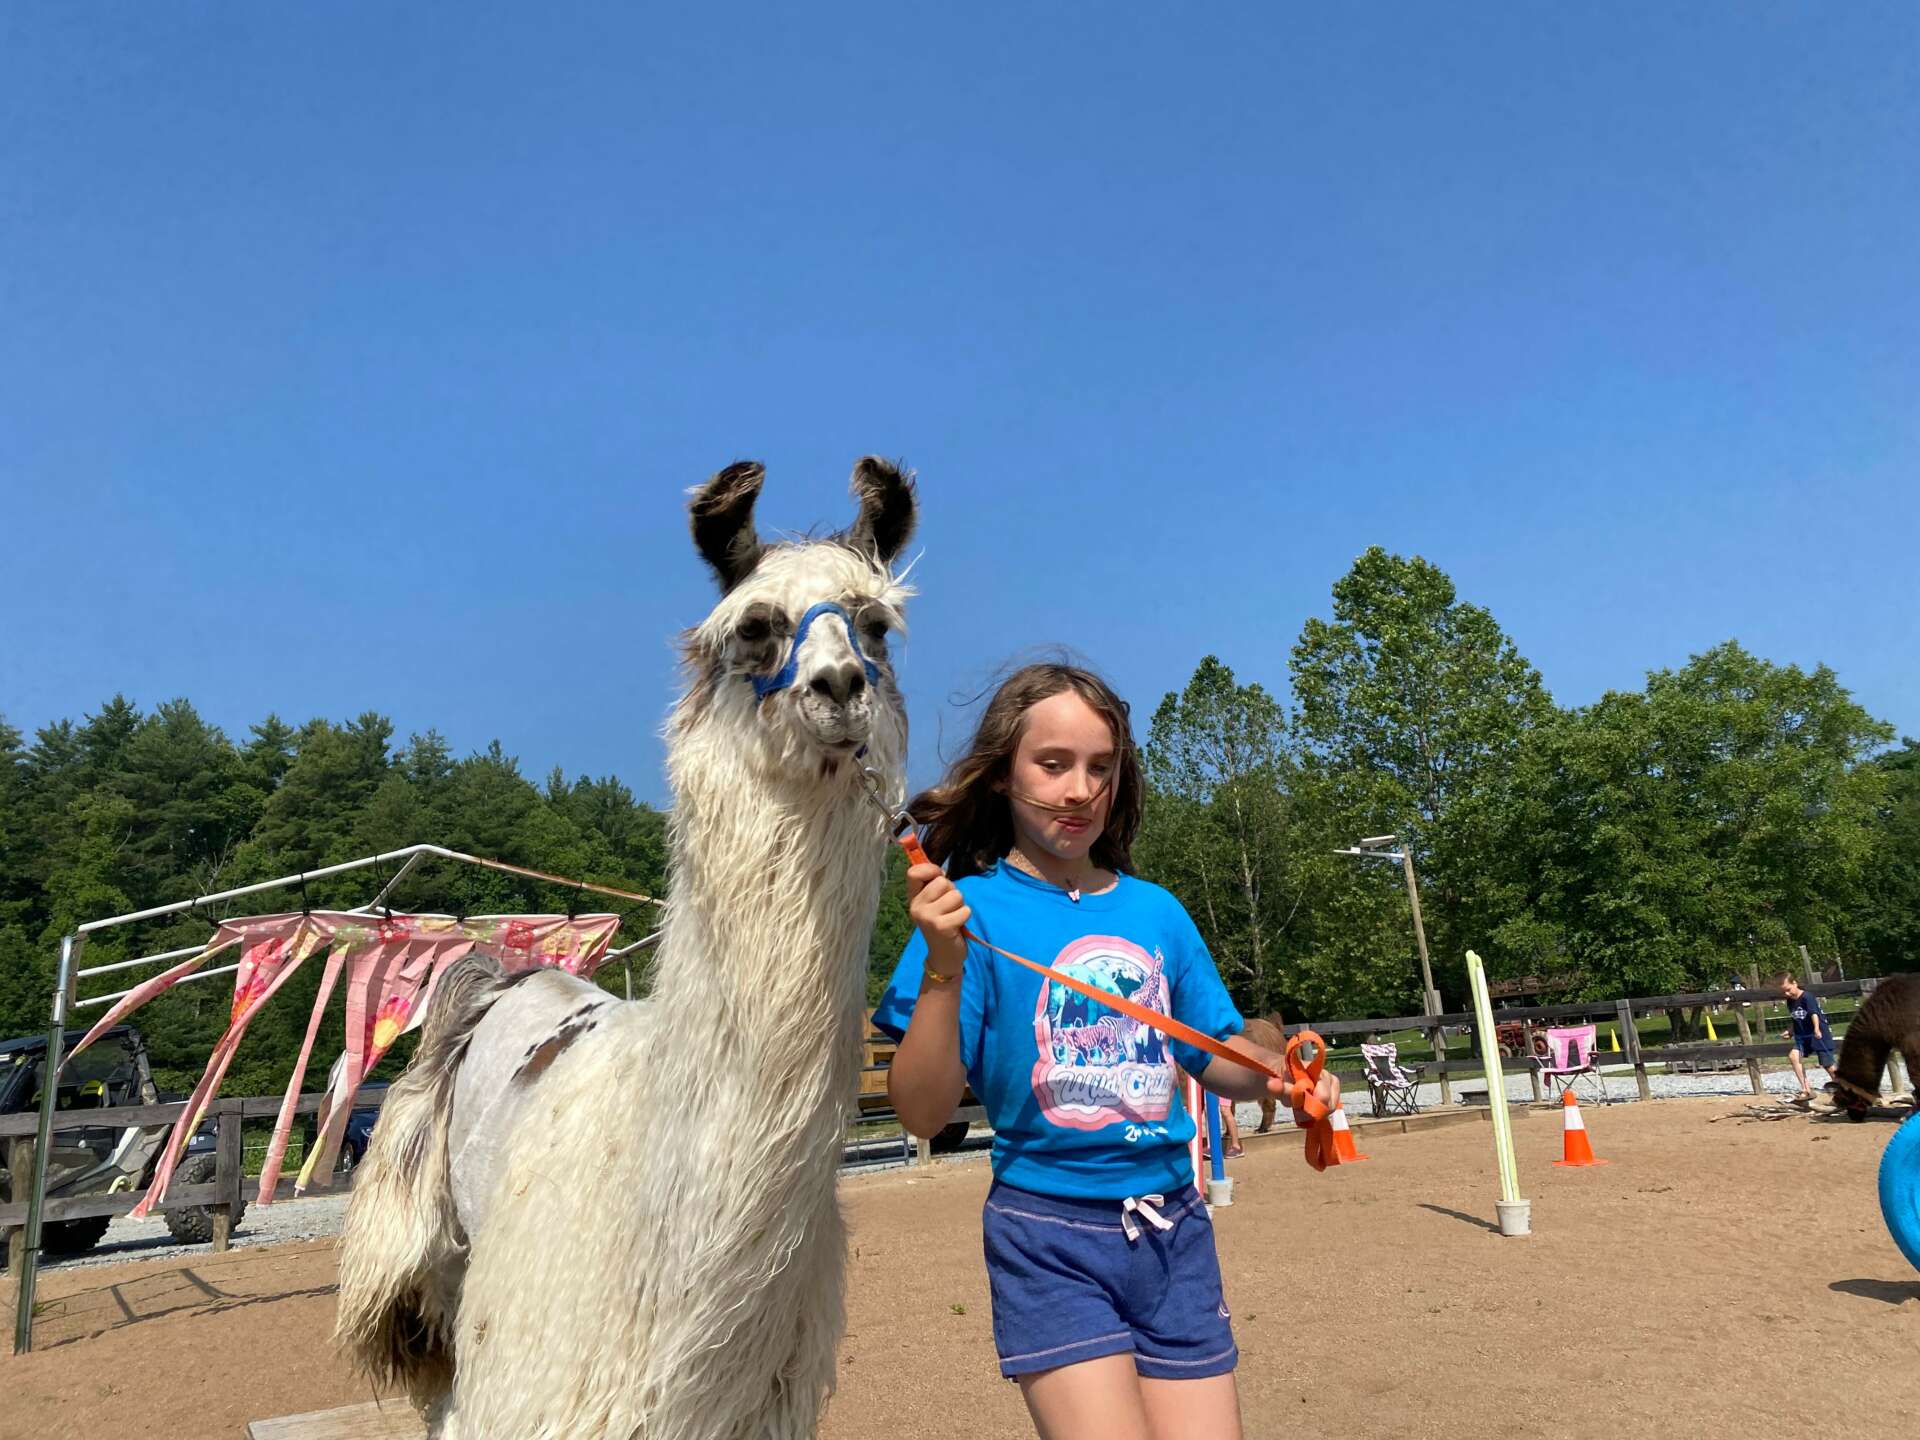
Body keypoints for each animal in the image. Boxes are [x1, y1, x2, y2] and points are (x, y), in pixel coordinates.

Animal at [334, 457, 918, 1439]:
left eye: (875, 623)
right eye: (754, 626)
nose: (840, 687)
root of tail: (514, 976)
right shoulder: (532, 1384)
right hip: (440, 1266)